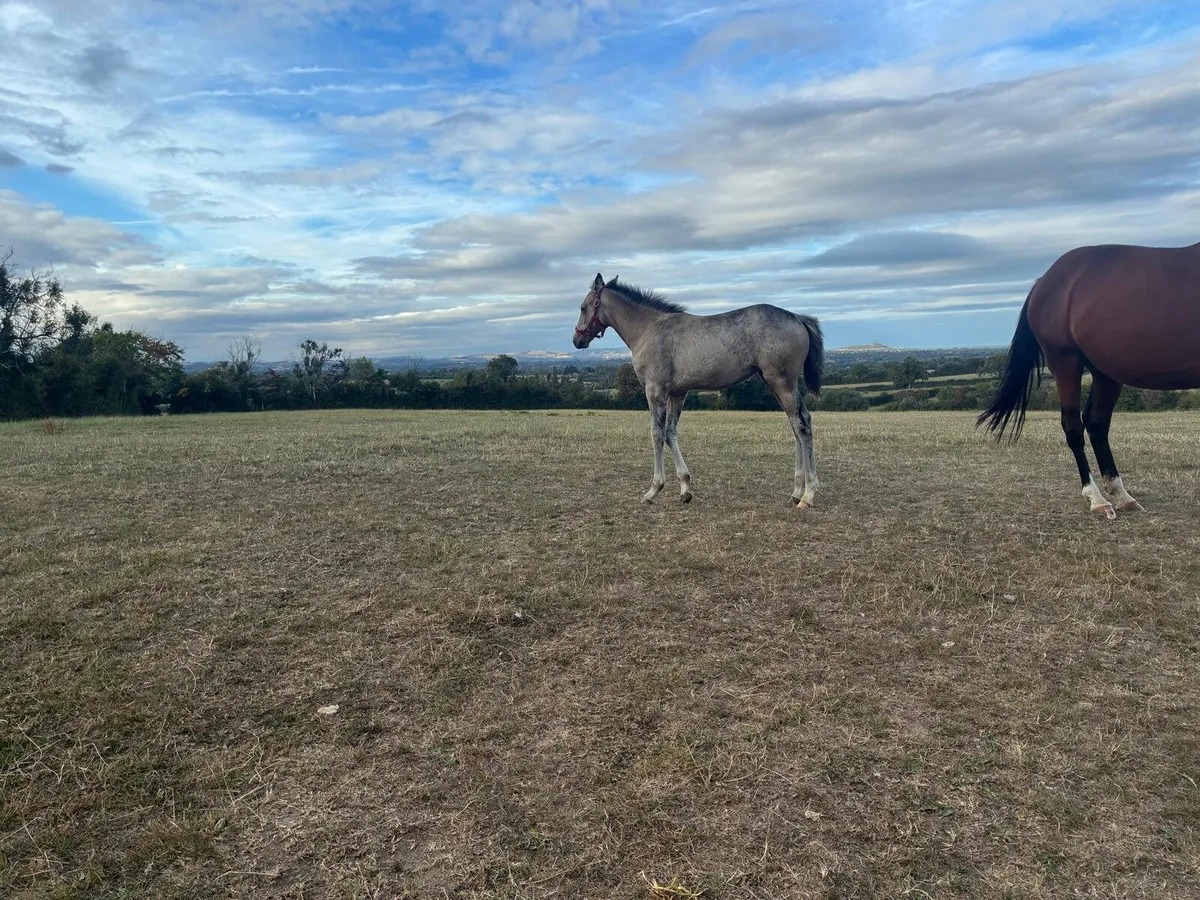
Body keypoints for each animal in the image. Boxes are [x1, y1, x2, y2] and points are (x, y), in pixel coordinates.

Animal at [572, 273, 824, 506]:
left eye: (583, 307)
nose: (577, 340)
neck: (648, 329)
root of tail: (798, 318)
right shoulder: (678, 393)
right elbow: (671, 433)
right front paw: (685, 489)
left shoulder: (655, 392)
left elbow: (657, 434)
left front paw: (653, 490)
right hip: (776, 385)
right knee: (797, 424)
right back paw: (796, 492)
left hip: (782, 383)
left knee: (802, 427)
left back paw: (808, 495)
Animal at [979, 242, 1200, 518]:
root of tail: (1044, 281)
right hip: (1065, 362)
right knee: (1073, 426)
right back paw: (1096, 498)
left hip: (1106, 372)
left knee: (1096, 423)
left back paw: (1121, 495)